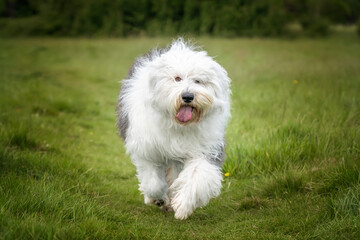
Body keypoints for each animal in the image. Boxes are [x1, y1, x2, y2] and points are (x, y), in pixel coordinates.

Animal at [116, 38, 232, 220]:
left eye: (198, 81)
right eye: (177, 78)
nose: (188, 96)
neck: (178, 124)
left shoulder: (205, 148)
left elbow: (197, 175)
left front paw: (183, 205)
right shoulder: (147, 148)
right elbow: (153, 182)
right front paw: (158, 199)